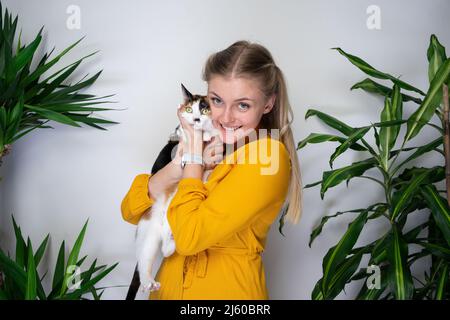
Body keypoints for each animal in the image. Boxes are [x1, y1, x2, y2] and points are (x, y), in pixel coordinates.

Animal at [134, 83, 217, 292]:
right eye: (189, 109)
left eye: (204, 110)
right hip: (149, 231)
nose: (196, 119)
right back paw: (148, 282)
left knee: (165, 248)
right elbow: (179, 134)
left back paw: (171, 243)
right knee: (144, 259)